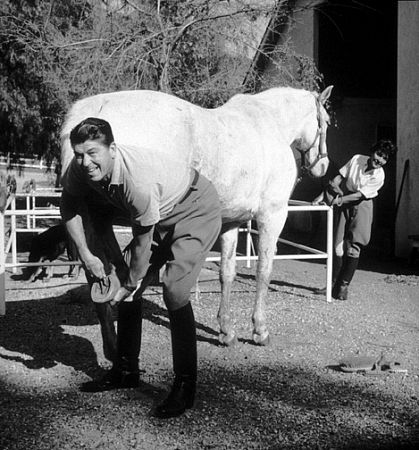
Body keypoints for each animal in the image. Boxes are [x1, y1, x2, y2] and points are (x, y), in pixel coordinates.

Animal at [60, 85, 334, 344]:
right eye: (328, 121)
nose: (323, 165)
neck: (271, 124)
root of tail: (95, 107)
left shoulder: (231, 222)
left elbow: (227, 272)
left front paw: (226, 330)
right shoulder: (272, 215)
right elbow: (264, 271)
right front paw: (260, 329)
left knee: (96, 269)